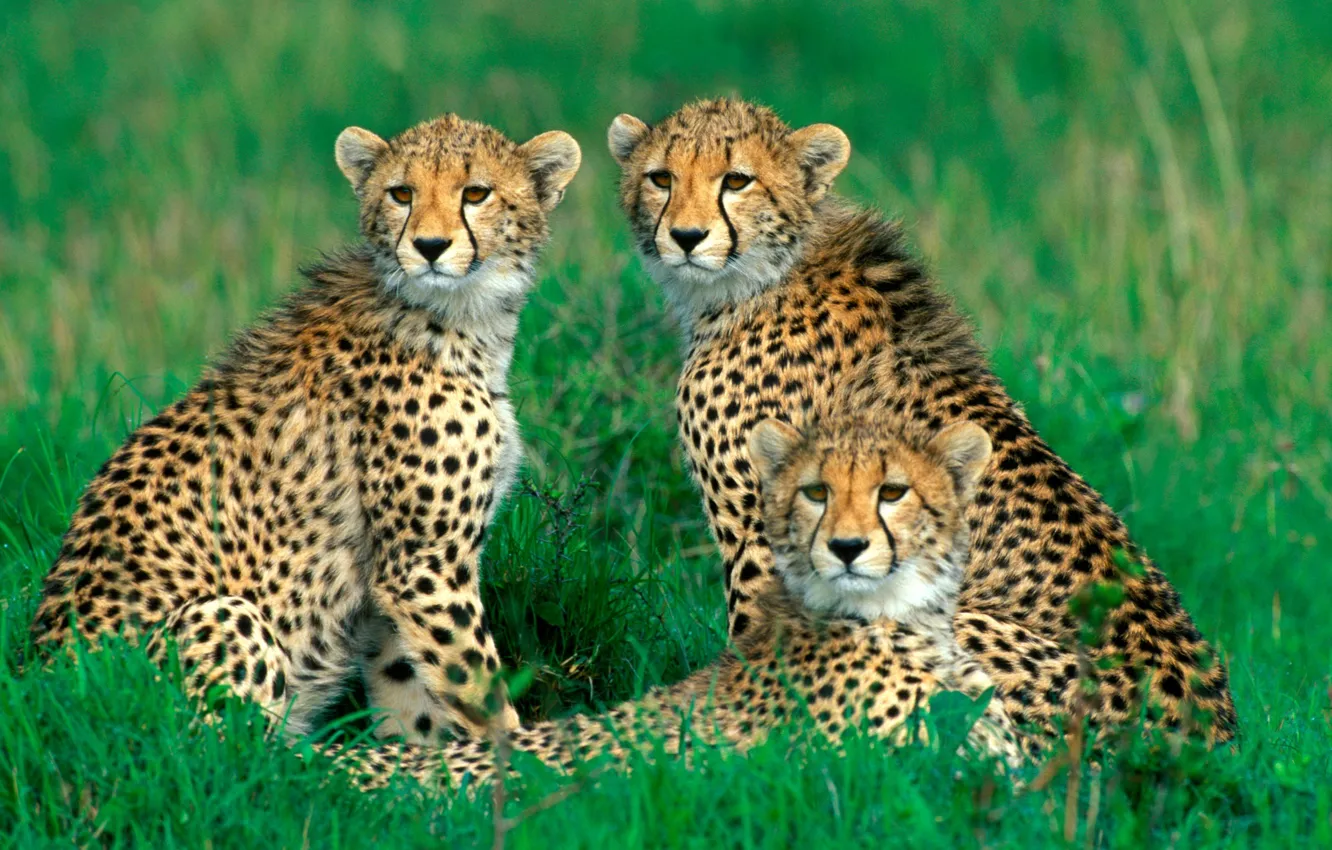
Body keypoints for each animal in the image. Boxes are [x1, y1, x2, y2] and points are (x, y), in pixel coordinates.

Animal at [28, 113, 582, 744]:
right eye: (401, 193)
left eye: (476, 193)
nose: (430, 247)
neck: (454, 314)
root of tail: (47, 703)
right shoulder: (423, 566)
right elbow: (480, 689)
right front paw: (524, 758)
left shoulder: (393, 583)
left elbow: (412, 693)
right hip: (224, 615)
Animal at [604, 97, 1237, 746]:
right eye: (661, 178)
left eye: (736, 180)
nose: (686, 236)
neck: (763, 277)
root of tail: (1211, 737)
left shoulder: (770, 535)